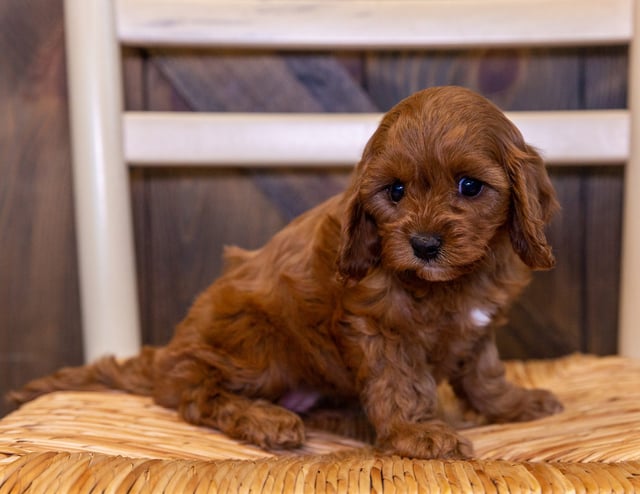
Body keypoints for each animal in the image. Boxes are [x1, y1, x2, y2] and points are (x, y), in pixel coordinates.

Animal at [8, 85, 560, 460]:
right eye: (396, 192)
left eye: (470, 186)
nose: (423, 245)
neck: (452, 282)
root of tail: (165, 357)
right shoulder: (377, 327)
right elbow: (400, 382)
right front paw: (416, 433)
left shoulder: (478, 327)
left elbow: (484, 373)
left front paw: (514, 404)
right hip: (258, 343)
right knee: (196, 393)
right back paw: (265, 418)